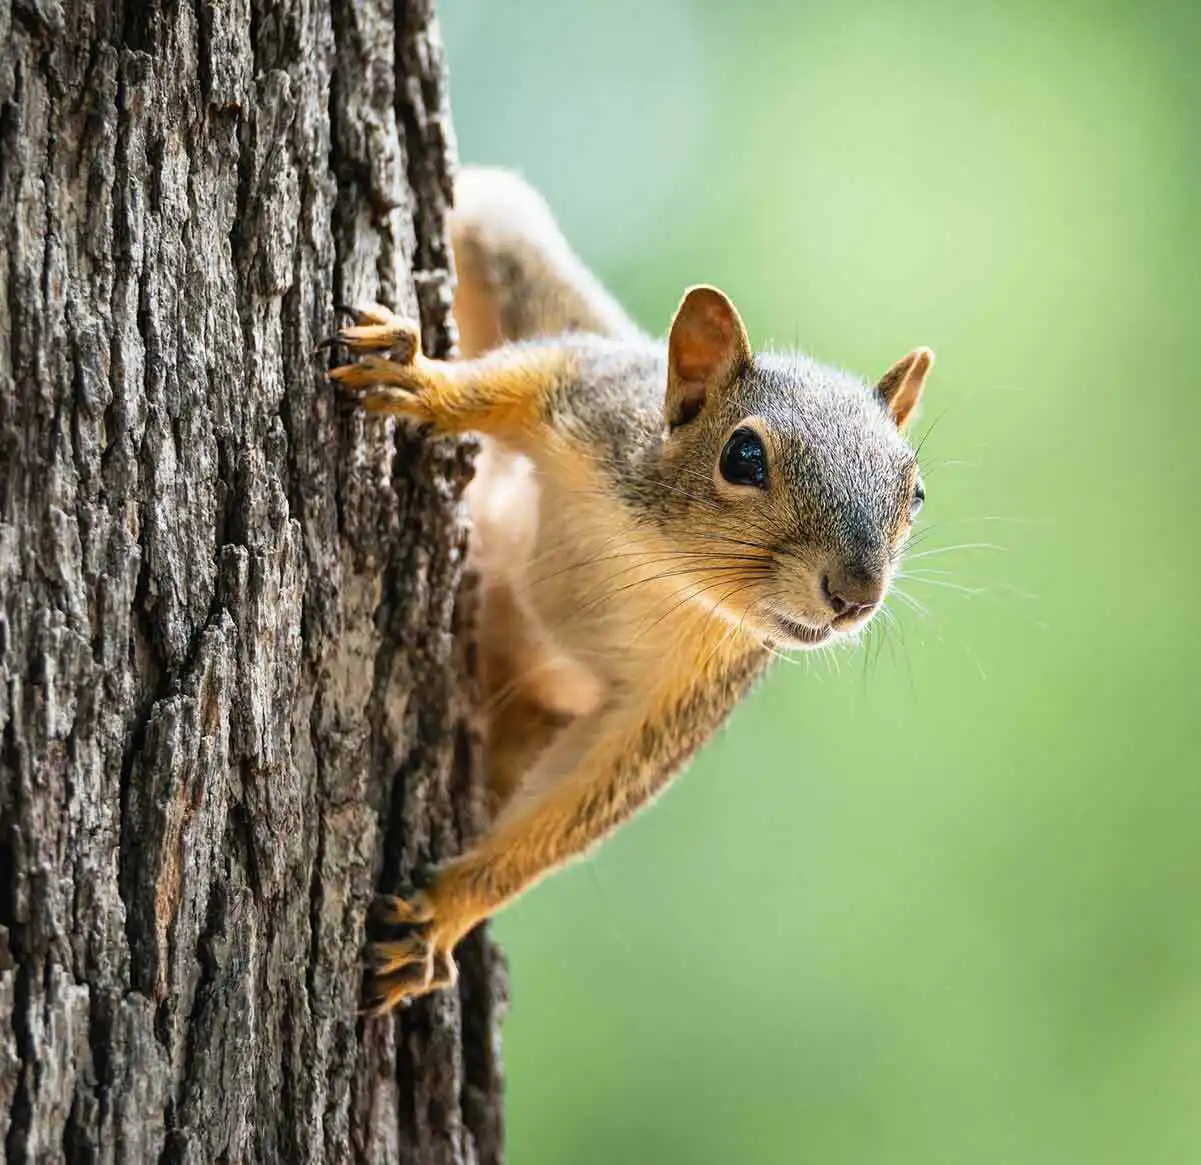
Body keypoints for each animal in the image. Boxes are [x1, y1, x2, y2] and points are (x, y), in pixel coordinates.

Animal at [327, 167, 934, 1013]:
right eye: (742, 456)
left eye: (915, 495)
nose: (855, 594)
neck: (658, 562)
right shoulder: (590, 398)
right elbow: (505, 382)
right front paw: (421, 380)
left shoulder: (687, 693)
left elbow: (584, 799)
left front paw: (442, 915)